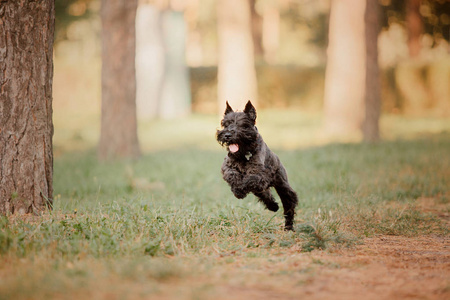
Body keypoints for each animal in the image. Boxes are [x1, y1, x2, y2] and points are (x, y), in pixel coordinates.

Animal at [215, 101, 298, 230]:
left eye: (243, 125)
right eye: (225, 124)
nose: (227, 135)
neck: (244, 153)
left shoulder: (260, 175)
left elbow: (248, 180)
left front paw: (240, 190)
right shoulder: (227, 166)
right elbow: (231, 174)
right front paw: (237, 189)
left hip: (283, 186)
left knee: (289, 204)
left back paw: (288, 227)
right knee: (266, 195)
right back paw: (273, 206)